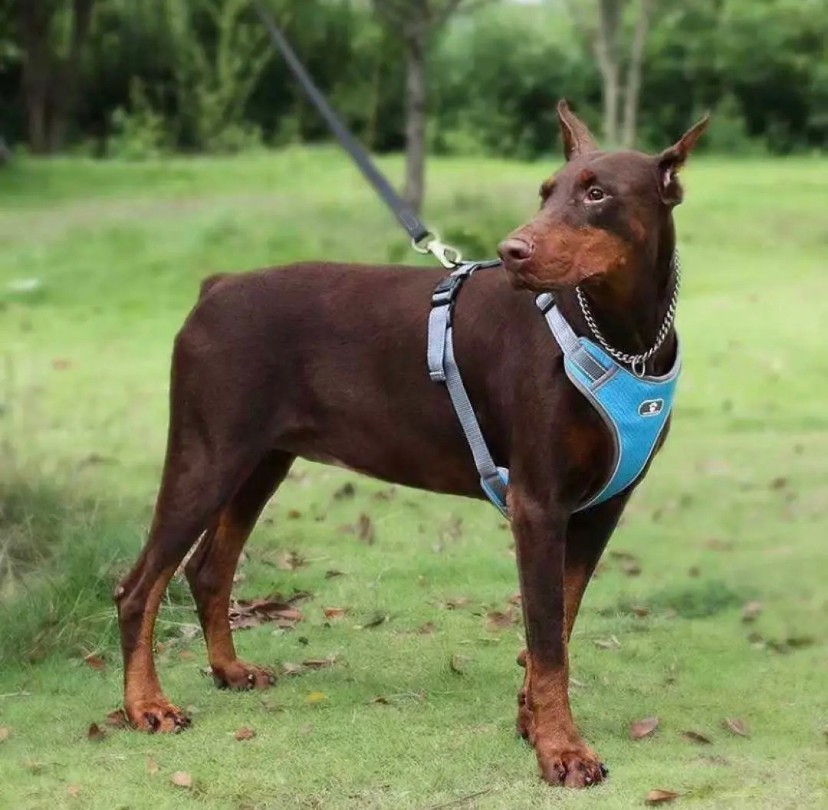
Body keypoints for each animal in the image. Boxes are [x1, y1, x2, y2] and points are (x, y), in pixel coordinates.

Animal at [115, 99, 704, 784]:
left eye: (597, 193)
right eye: (546, 191)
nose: (512, 250)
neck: (620, 337)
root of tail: (216, 285)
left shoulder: (602, 507)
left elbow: (556, 624)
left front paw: (532, 722)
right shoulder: (538, 505)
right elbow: (547, 638)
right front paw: (562, 749)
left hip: (261, 460)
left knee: (208, 569)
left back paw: (228, 669)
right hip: (207, 453)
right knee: (139, 586)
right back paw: (147, 706)